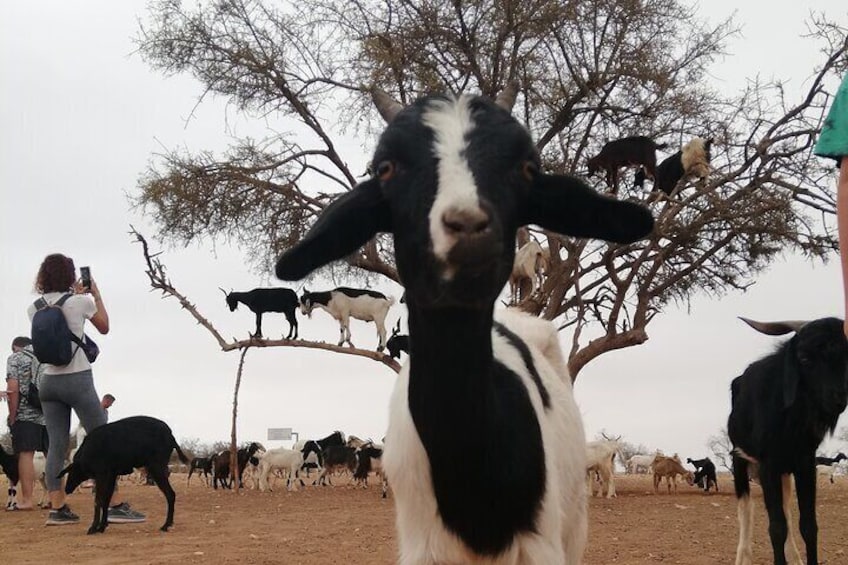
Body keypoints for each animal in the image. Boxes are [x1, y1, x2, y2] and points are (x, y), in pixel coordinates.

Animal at [58, 416, 189, 534]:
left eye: (71, 472)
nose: (67, 489)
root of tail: (171, 435)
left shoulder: (102, 476)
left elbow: (98, 500)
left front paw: (94, 527)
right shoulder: (111, 476)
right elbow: (106, 500)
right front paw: (102, 526)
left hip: (157, 469)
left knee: (170, 494)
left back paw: (166, 525)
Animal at [729, 317, 848, 565]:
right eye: (804, 358)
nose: (838, 399)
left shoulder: (804, 464)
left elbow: (808, 525)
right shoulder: (768, 465)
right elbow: (776, 527)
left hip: (784, 473)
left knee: (786, 511)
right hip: (741, 461)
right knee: (746, 510)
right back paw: (743, 557)